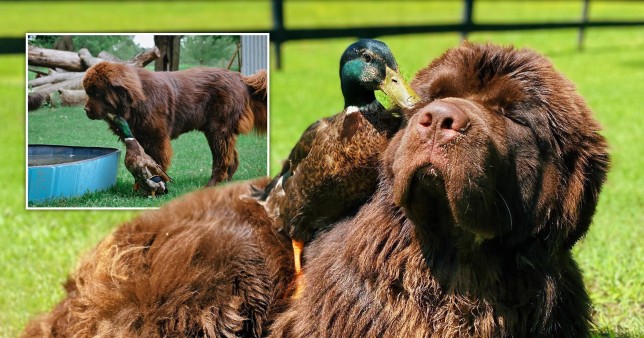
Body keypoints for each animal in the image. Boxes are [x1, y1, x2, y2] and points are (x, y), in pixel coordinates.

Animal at [81, 62, 266, 186]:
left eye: (97, 93)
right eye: (87, 92)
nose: (86, 110)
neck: (135, 100)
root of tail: (240, 77)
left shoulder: (155, 138)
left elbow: (154, 162)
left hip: (218, 129)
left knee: (221, 158)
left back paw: (212, 184)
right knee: (230, 157)